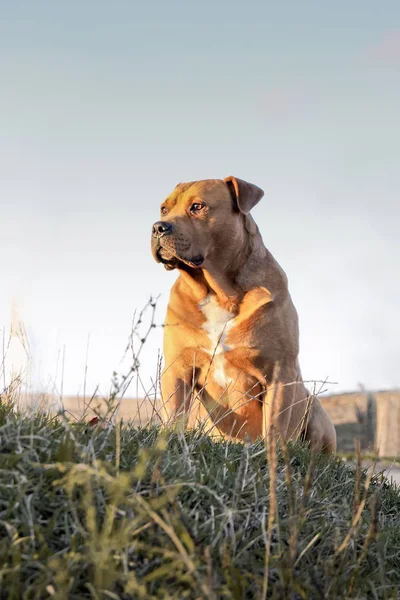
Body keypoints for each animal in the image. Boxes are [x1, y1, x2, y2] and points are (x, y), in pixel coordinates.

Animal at [152, 176, 336, 452]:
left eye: (197, 206)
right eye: (164, 209)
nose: (158, 227)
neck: (219, 292)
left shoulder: (279, 372)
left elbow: (274, 425)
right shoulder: (178, 369)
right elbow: (174, 413)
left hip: (313, 406)